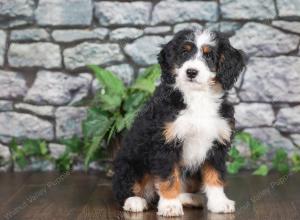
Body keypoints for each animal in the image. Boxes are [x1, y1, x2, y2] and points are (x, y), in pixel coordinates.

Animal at [111, 28, 245, 217]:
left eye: (209, 56)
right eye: (184, 53)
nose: (191, 72)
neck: (197, 97)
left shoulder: (217, 144)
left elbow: (215, 175)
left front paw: (219, 202)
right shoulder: (164, 143)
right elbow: (168, 178)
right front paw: (169, 206)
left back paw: (190, 199)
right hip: (130, 163)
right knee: (124, 189)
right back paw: (135, 201)